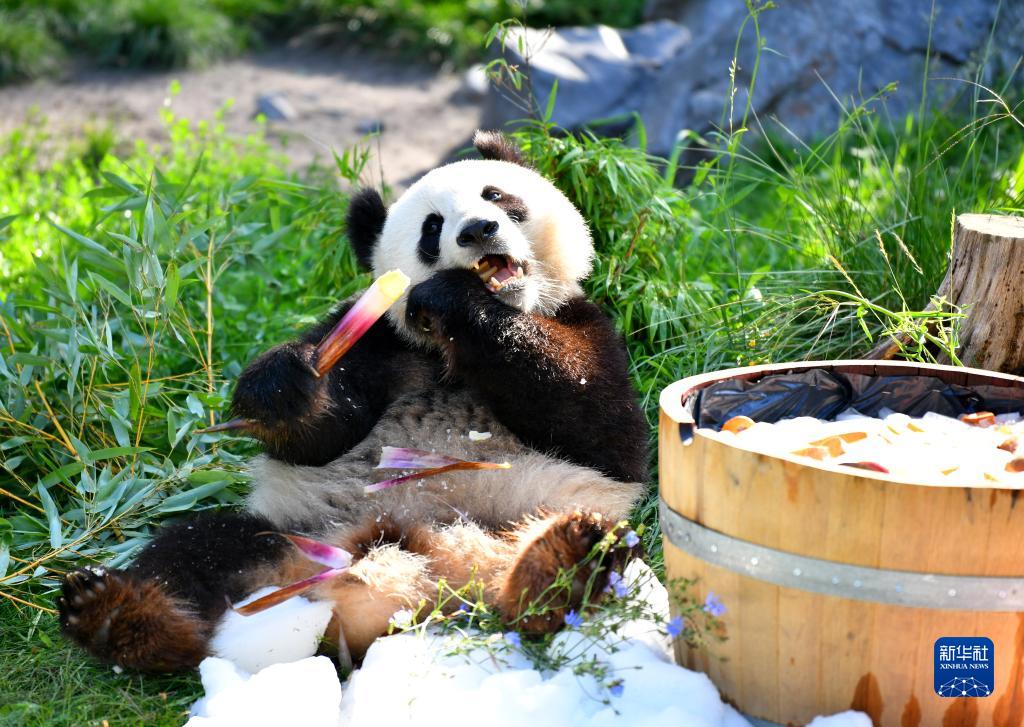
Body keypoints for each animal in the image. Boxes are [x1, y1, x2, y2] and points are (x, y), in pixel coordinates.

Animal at [57, 131, 649, 673]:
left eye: (497, 195)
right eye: (432, 227)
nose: (479, 230)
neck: (448, 348)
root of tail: (426, 573)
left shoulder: (588, 327)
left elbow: (598, 427)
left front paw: (459, 301)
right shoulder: (381, 343)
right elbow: (321, 438)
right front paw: (281, 388)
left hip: (527, 514)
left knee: (584, 559)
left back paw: (558, 561)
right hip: (296, 534)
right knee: (194, 548)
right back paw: (116, 615)